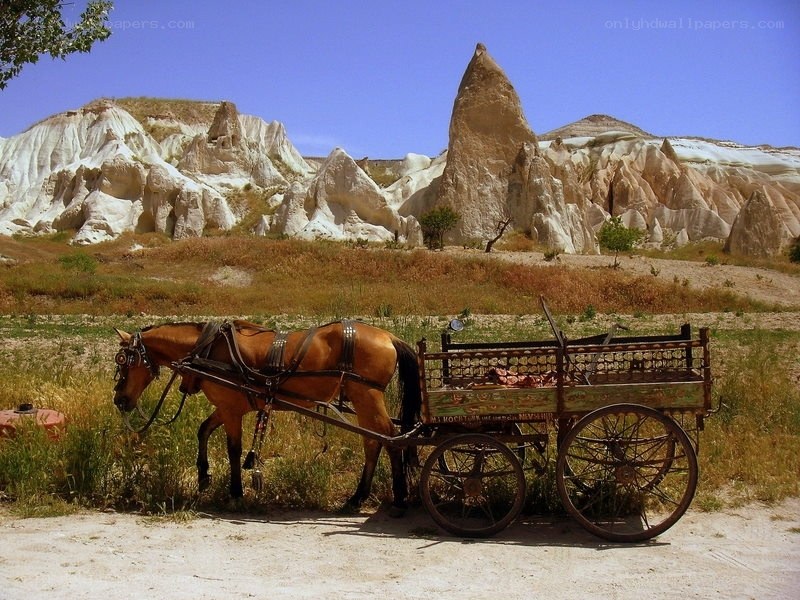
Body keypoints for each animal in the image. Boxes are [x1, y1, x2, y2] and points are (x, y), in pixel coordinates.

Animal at [112, 319, 422, 512]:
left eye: (124, 361)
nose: (119, 400)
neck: (208, 350)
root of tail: (389, 337)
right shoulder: (228, 406)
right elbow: (203, 430)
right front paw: (203, 475)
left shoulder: (231, 409)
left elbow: (234, 449)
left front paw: (236, 494)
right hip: (364, 400)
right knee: (375, 441)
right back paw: (359, 498)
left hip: (367, 396)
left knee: (389, 438)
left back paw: (396, 498)